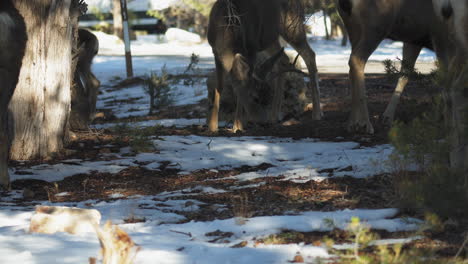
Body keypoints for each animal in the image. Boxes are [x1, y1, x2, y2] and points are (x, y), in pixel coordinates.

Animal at [208, 0, 322, 132]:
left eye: (260, 98)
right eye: (255, 98)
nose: (260, 119)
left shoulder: (252, 47)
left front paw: (237, 126)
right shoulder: (215, 51)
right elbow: (219, 87)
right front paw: (212, 126)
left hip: (292, 25)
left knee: (310, 55)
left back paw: (317, 113)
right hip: (271, 38)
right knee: (283, 59)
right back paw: (274, 116)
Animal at [336, 0, 454, 133]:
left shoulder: (414, 39)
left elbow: (405, 75)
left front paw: (387, 117)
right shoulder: (439, 34)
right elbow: (447, 79)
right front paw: (448, 123)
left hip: (353, 27)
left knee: (351, 64)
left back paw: (351, 122)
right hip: (376, 26)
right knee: (356, 60)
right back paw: (364, 123)